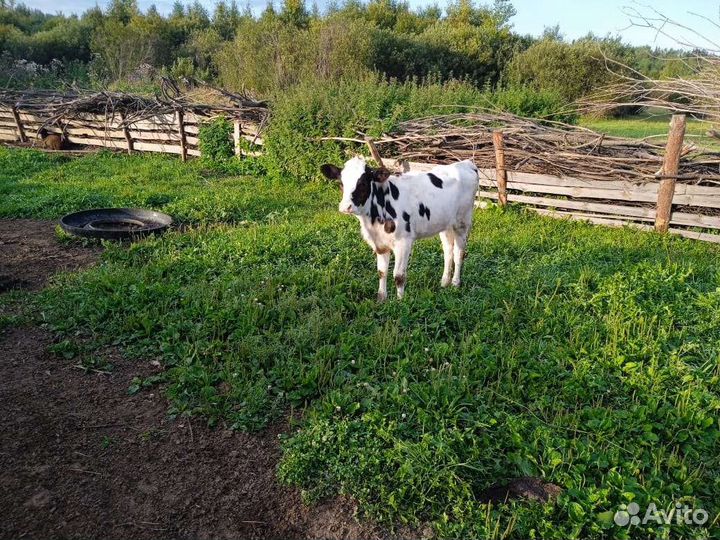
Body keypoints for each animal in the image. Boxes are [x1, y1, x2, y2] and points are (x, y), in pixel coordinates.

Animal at [321, 157, 479, 300]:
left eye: (363, 182)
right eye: (341, 183)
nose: (345, 207)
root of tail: (466, 163)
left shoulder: (404, 241)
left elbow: (398, 275)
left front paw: (400, 301)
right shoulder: (380, 244)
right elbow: (382, 272)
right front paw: (381, 299)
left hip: (462, 222)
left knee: (459, 253)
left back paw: (455, 283)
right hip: (445, 224)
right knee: (448, 251)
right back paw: (444, 282)